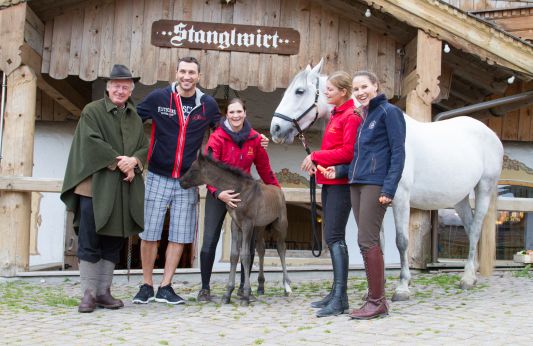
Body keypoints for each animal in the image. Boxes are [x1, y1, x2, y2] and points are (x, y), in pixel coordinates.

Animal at [272, 60, 500, 300]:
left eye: (299, 91)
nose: (275, 129)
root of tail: (490, 133)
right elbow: (378, 242)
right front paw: (376, 288)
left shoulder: (400, 200)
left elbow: (401, 241)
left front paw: (402, 287)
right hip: (460, 198)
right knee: (470, 228)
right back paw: (471, 274)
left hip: (484, 188)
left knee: (475, 228)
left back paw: (467, 278)